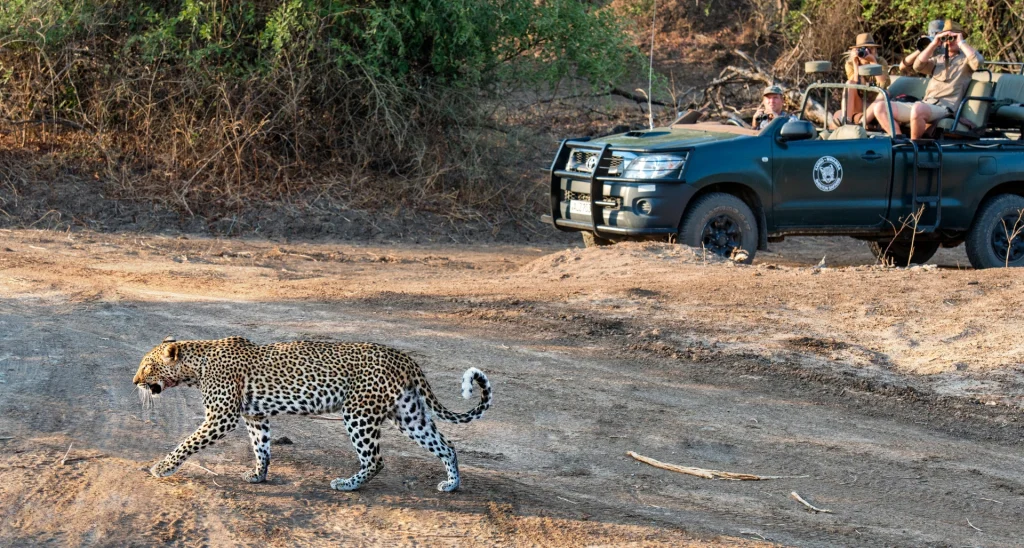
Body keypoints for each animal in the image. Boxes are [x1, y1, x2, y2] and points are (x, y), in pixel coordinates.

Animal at [133, 336, 492, 492]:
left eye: (147, 366)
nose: (134, 381)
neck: (195, 365)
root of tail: (404, 357)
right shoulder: (255, 417)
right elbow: (261, 448)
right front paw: (259, 475)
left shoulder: (221, 417)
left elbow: (186, 443)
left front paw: (161, 468)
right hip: (409, 414)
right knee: (447, 446)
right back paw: (452, 484)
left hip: (358, 413)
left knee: (376, 460)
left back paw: (347, 484)